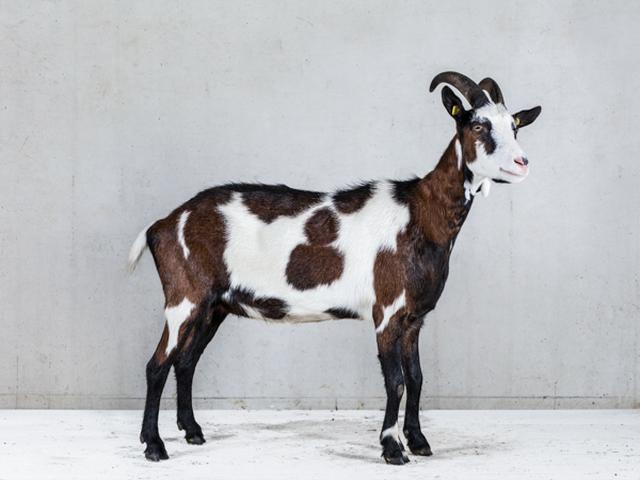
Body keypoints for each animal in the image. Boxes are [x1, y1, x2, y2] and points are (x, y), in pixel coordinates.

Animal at [129, 71, 541, 464]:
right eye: (478, 125)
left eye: (515, 126)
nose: (522, 163)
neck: (421, 213)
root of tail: (162, 225)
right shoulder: (386, 312)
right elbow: (395, 382)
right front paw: (392, 448)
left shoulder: (414, 318)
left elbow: (417, 378)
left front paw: (419, 441)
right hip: (184, 299)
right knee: (157, 364)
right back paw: (154, 446)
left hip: (213, 306)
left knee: (185, 361)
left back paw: (193, 432)